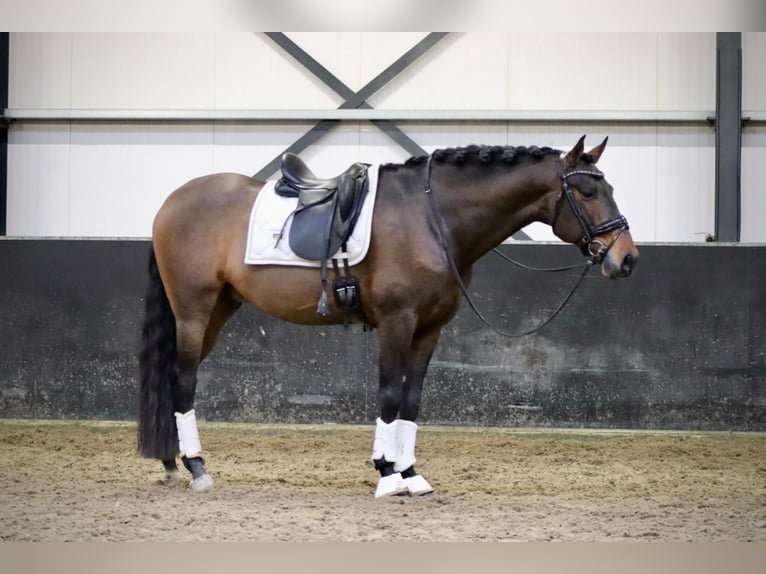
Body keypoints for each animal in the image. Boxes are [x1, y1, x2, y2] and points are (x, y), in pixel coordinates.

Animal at [138, 135, 639, 497]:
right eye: (587, 191)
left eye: (611, 188)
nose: (627, 259)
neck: (432, 219)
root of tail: (170, 202)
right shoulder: (397, 322)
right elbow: (389, 395)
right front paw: (386, 474)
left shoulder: (429, 329)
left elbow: (411, 400)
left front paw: (410, 473)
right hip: (194, 310)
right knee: (183, 380)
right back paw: (197, 469)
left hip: (219, 309)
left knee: (175, 378)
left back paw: (171, 463)